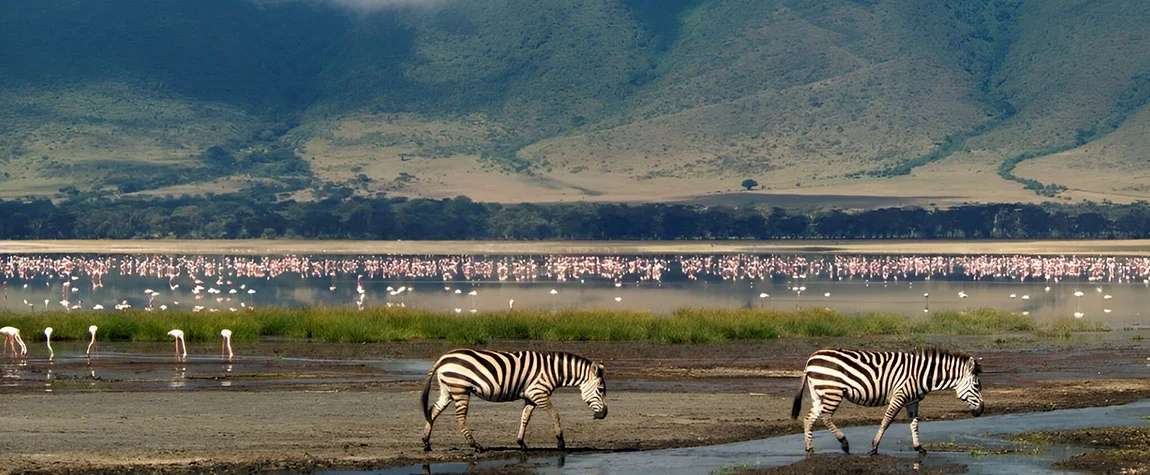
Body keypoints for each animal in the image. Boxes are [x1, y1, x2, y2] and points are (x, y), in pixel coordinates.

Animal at [418, 347, 607, 450]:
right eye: (601, 389)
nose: (604, 414)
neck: (554, 371)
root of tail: (443, 358)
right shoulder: (539, 393)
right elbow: (555, 415)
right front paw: (560, 442)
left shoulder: (531, 397)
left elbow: (525, 418)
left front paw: (521, 443)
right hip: (460, 389)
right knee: (459, 418)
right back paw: (475, 445)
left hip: (448, 390)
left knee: (432, 411)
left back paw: (426, 442)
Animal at [791, 345, 989, 453]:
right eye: (977, 386)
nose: (981, 410)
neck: (922, 375)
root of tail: (811, 359)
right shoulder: (899, 396)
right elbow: (887, 420)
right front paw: (874, 446)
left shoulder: (912, 401)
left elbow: (914, 423)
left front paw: (918, 447)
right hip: (833, 391)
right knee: (825, 417)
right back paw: (844, 443)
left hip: (819, 393)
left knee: (809, 418)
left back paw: (809, 448)